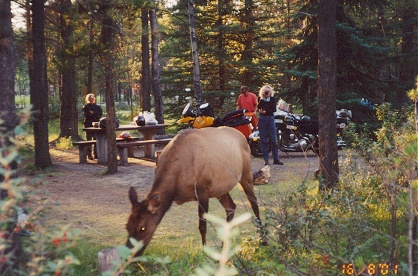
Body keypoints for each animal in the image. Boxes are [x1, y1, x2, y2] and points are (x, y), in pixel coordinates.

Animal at [125, 126, 262, 256]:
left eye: (143, 227)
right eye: (127, 226)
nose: (129, 254)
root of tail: (242, 136)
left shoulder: (202, 191)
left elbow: (202, 226)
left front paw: (205, 252)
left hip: (246, 175)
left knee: (254, 203)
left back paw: (262, 238)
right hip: (220, 188)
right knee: (231, 206)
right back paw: (224, 245)